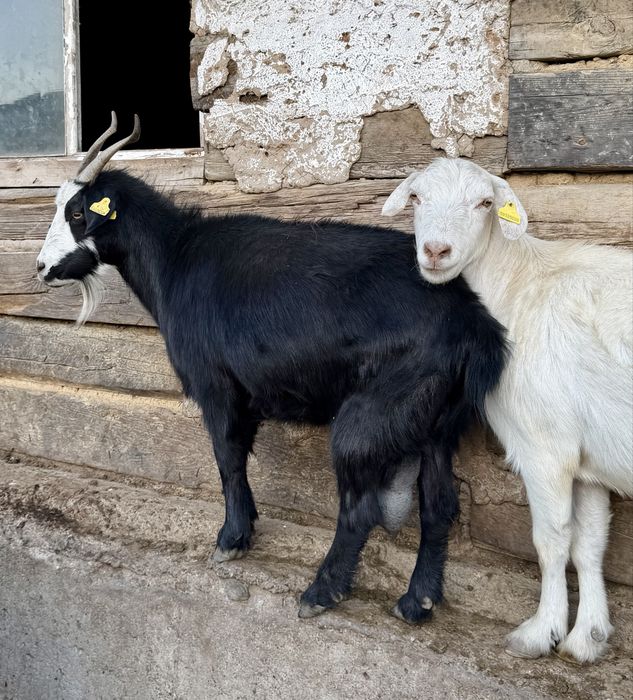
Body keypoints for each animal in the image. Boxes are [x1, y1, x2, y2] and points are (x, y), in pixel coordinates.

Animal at [36, 115, 506, 621]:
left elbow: (227, 459)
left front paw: (231, 540)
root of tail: (472, 322)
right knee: (439, 507)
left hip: (373, 414)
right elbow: (238, 456)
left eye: (78, 214)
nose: (41, 267)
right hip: (438, 424)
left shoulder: (216, 387)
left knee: (360, 508)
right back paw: (417, 600)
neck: (176, 258)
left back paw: (322, 592)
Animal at [382, 157, 633, 663]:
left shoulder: (545, 447)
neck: (519, 286)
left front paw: (541, 633)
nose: (436, 250)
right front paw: (587, 637)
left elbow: (552, 540)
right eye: (416, 197)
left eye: (484, 203)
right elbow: (591, 542)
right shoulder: (587, 457)